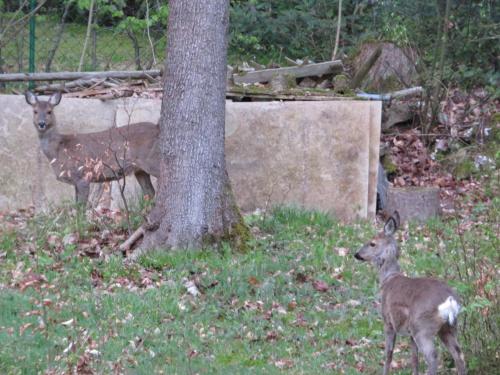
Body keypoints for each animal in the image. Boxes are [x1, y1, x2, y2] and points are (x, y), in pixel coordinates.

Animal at [24, 92, 160, 207]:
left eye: (49, 111)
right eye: (35, 111)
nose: (41, 123)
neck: (59, 149)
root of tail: (157, 127)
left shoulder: (83, 175)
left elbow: (81, 207)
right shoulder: (76, 181)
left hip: (152, 159)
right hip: (140, 170)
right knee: (150, 192)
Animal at [356, 213, 464, 374]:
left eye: (372, 243)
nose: (357, 254)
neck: (388, 279)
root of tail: (450, 301)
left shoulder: (388, 321)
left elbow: (388, 354)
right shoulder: (410, 334)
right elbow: (414, 358)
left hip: (422, 326)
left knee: (433, 356)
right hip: (448, 327)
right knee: (458, 354)